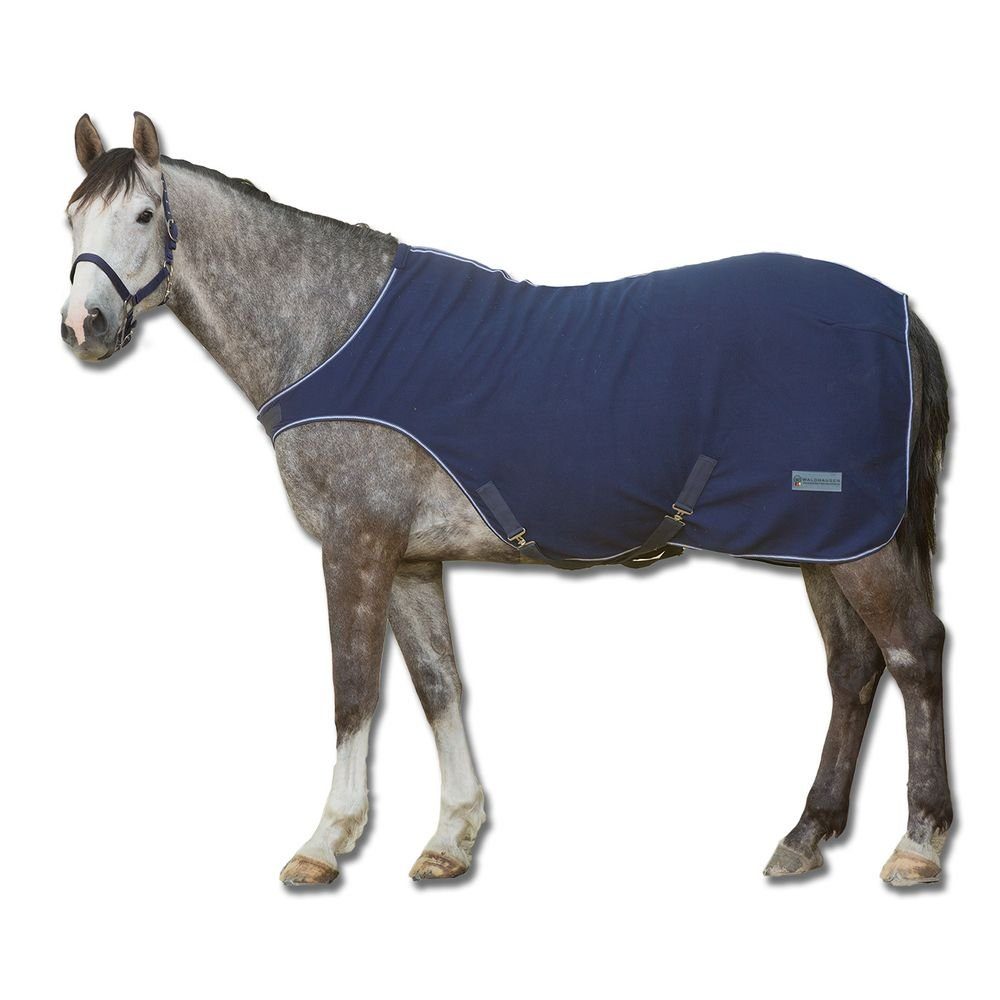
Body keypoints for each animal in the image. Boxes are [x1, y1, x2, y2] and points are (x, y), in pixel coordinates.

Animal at [61, 112, 952, 887]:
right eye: (71, 219)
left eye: (143, 213)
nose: (84, 325)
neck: (329, 330)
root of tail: (898, 313)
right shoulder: (410, 559)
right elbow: (438, 686)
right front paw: (451, 837)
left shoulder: (356, 544)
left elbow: (354, 690)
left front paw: (323, 842)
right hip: (826, 542)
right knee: (853, 668)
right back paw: (806, 834)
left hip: (858, 542)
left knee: (913, 651)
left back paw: (918, 845)